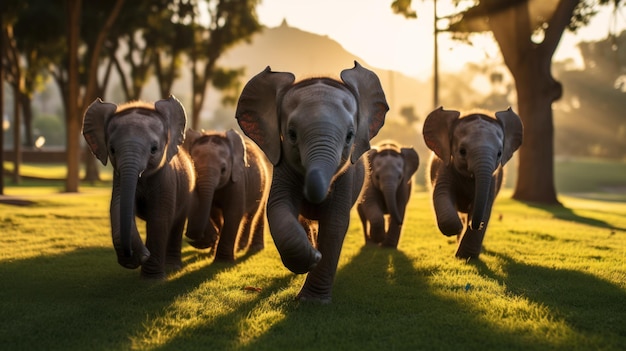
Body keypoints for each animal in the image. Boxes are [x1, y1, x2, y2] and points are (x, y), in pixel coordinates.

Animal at [83, 95, 194, 280]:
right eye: (112, 150)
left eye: (154, 149)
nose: (134, 254)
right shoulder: (119, 178)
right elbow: (118, 206)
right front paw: (138, 258)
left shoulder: (166, 178)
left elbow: (159, 217)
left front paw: (152, 278)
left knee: (176, 224)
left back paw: (172, 267)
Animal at [180, 128, 268, 262]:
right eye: (193, 166)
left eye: (223, 170)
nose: (190, 239)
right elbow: (212, 213)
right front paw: (213, 244)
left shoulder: (237, 181)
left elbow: (233, 213)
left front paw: (223, 261)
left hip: (265, 183)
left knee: (254, 214)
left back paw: (251, 248)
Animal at [236, 60, 388, 302]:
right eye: (291, 134)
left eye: (350, 136)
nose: (310, 195)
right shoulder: (282, 165)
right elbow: (278, 207)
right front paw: (311, 257)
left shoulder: (347, 175)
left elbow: (335, 222)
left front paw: (312, 300)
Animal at [420, 106, 520, 258]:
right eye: (462, 151)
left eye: (499, 154)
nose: (476, 224)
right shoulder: (445, 166)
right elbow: (441, 193)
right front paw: (457, 229)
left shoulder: (493, 178)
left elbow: (486, 206)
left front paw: (465, 257)